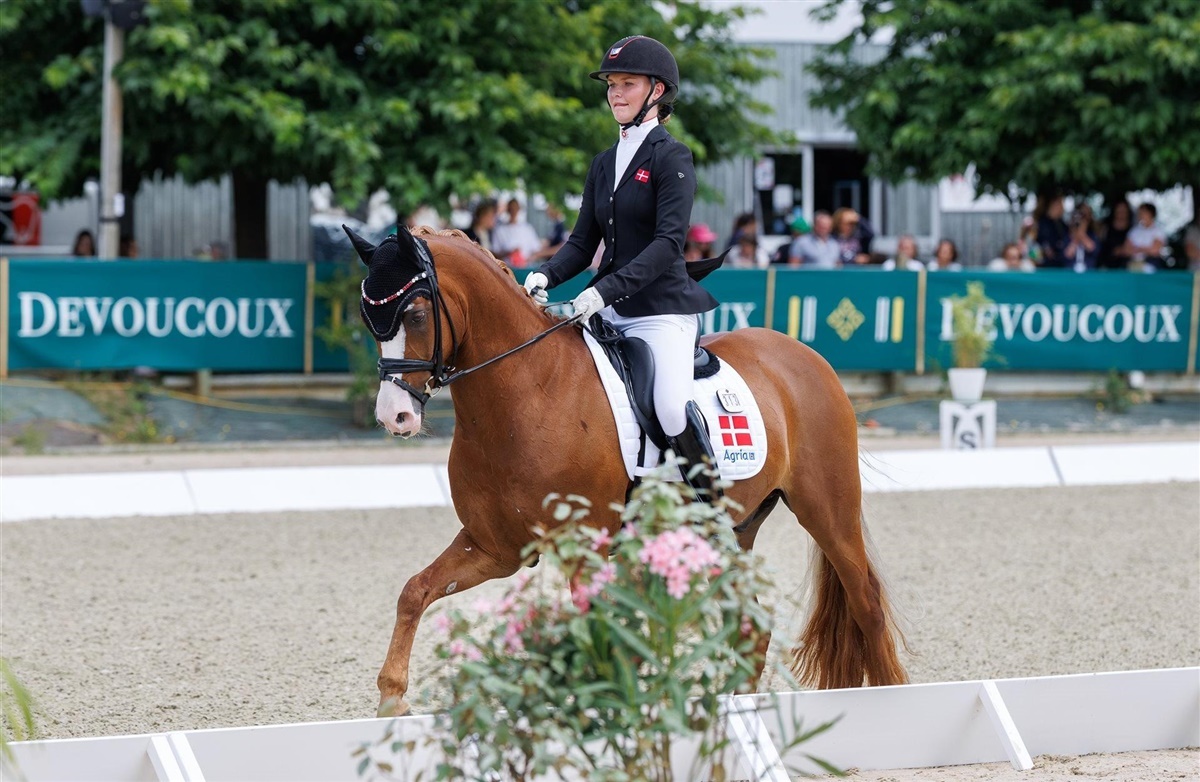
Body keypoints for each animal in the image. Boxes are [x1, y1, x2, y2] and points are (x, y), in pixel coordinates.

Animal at [348, 224, 908, 715]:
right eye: (369, 319)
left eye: (416, 314)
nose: (393, 417)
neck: (528, 393)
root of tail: (805, 355)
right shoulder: (495, 547)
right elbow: (414, 591)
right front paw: (392, 697)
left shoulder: (584, 549)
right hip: (731, 532)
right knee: (752, 626)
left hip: (827, 509)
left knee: (866, 602)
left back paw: (892, 699)